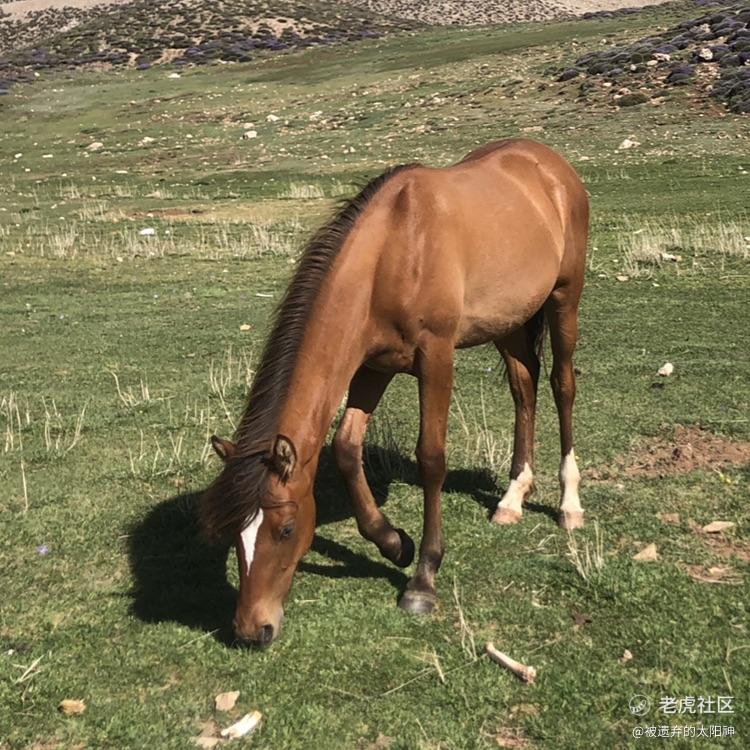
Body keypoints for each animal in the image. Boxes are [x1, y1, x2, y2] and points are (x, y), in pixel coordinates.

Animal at [203, 140, 592, 648]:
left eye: (285, 529)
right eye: (235, 533)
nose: (252, 629)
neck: (394, 252)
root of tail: (548, 163)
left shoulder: (436, 358)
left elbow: (431, 458)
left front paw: (422, 578)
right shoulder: (372, 366)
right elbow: (346, 448)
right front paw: (393, 543)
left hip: (564, 300)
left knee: (561, 387)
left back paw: (569, 504)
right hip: (508, 320)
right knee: (523, 389)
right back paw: (512, 498)